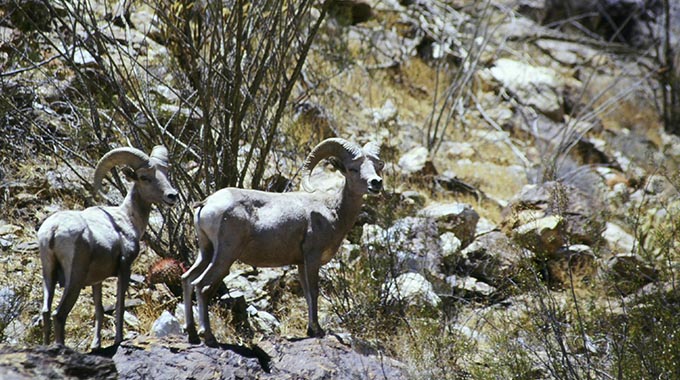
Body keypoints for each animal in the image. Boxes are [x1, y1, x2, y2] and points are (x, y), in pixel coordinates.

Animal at [38, 145, 178, 348]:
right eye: (145, 177)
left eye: (165, 174)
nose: (172, 196)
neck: (128, 218)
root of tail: (54, 230)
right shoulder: (124, 267)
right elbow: (120, 305)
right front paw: (119, 339)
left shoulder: (97, 280)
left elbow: (99, 309)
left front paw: (96, 345)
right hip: (74, 280)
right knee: (59, 314)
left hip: (48, 274)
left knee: (46, 312)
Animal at [182, 139, 382, 344]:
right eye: (353, 168)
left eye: (377, 166)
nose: (376, 183)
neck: (333, 210)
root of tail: (207, 203)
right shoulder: (312, 258)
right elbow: (314, 292)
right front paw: (318, 330)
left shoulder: (301, 263)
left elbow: (307, 294)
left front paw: (311, 330)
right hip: (224, 256)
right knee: (202, 286)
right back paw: (208, 336)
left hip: (206, 252)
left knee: (187, 279)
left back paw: (192, 334)